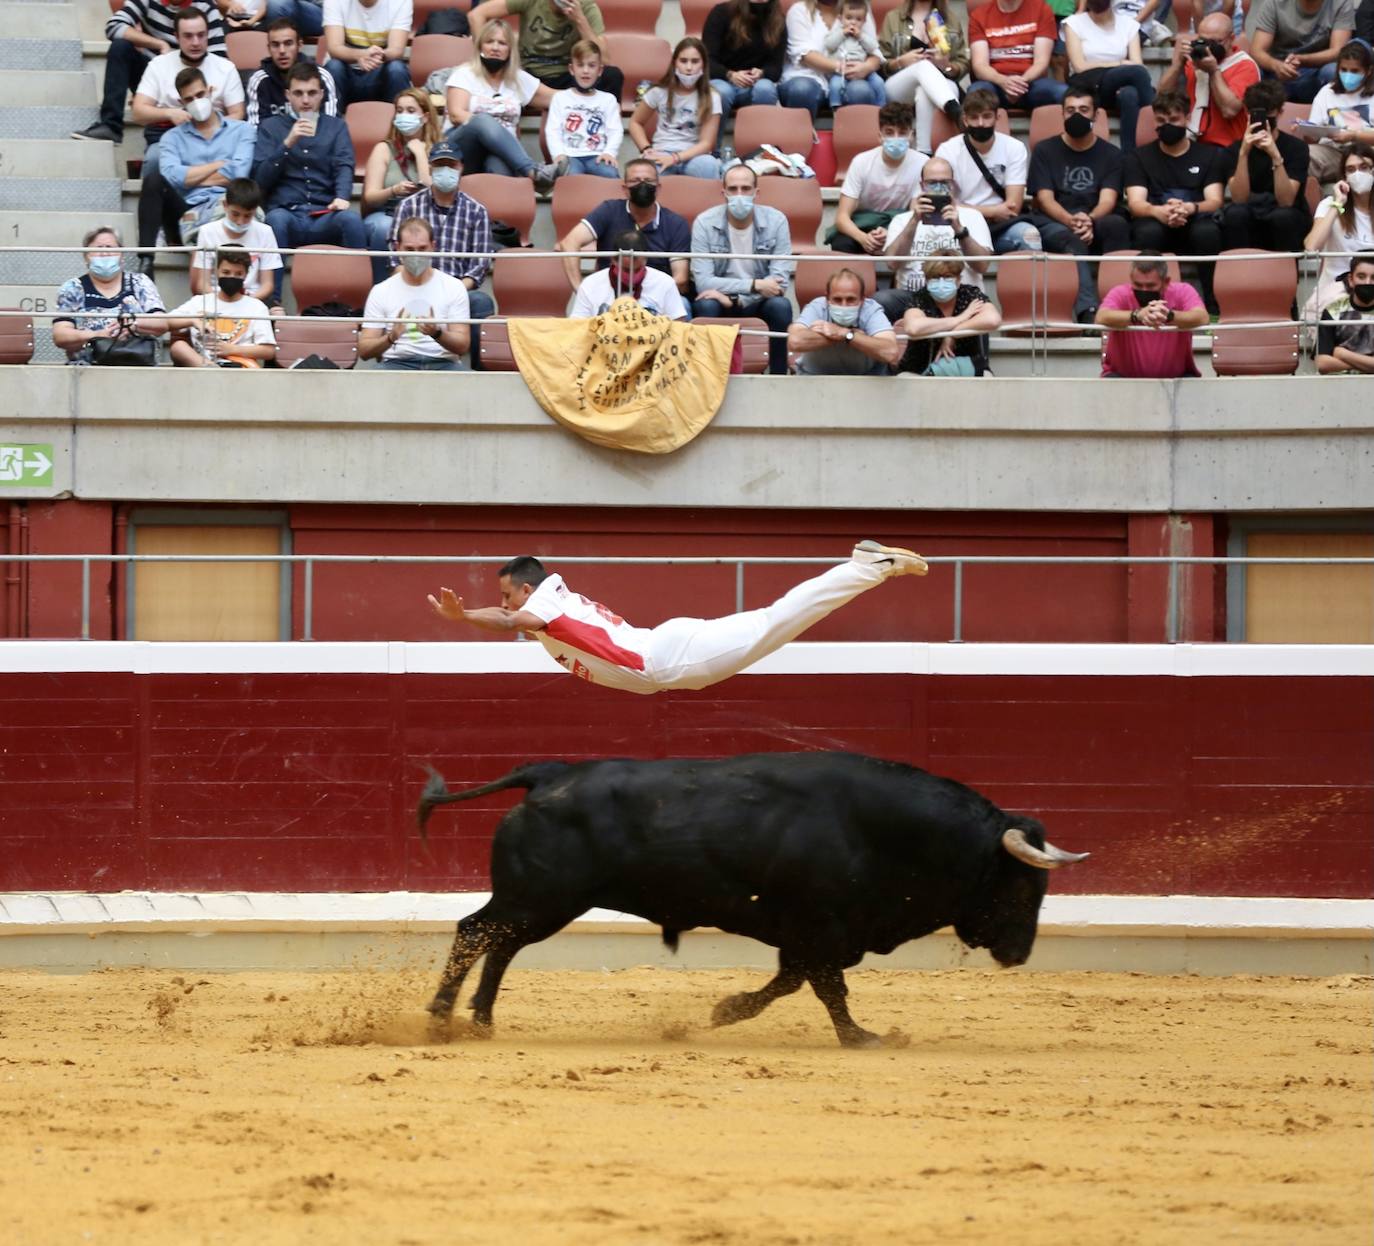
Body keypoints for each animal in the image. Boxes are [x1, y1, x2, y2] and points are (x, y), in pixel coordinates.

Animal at [412, 752, 1088, 1049]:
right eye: (1024, 884)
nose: (1020, 955)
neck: (884, 830)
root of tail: (547, 774)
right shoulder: (819, 926)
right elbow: (827, 986)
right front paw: (861, 1037)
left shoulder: (809, 933)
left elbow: (791, 981)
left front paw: (726, 1009)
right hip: (540, 896)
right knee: (476, 932)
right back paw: (444, 1018)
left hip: (541, 902)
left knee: (498, 945)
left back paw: (480, 1020)